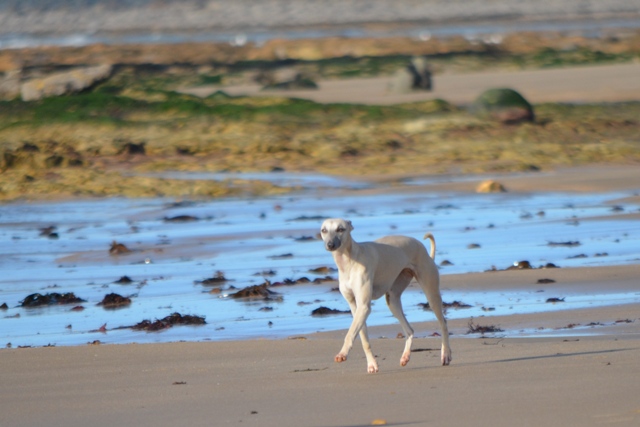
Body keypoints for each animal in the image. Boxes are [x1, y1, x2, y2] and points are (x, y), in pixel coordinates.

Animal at [318, 219, 450, 372]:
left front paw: (342, 354)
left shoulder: (364, 306)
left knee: (443, 323)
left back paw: (446, 354)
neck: (350, 260)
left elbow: (350, 333)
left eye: (340, 229)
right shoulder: (355, 307)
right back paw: (405, 356)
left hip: (431, 293)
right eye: (324, 230)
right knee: (409, 330)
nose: (330, 245)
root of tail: (422, 247)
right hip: (392, 299)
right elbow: (363, 337)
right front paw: (371, 364)